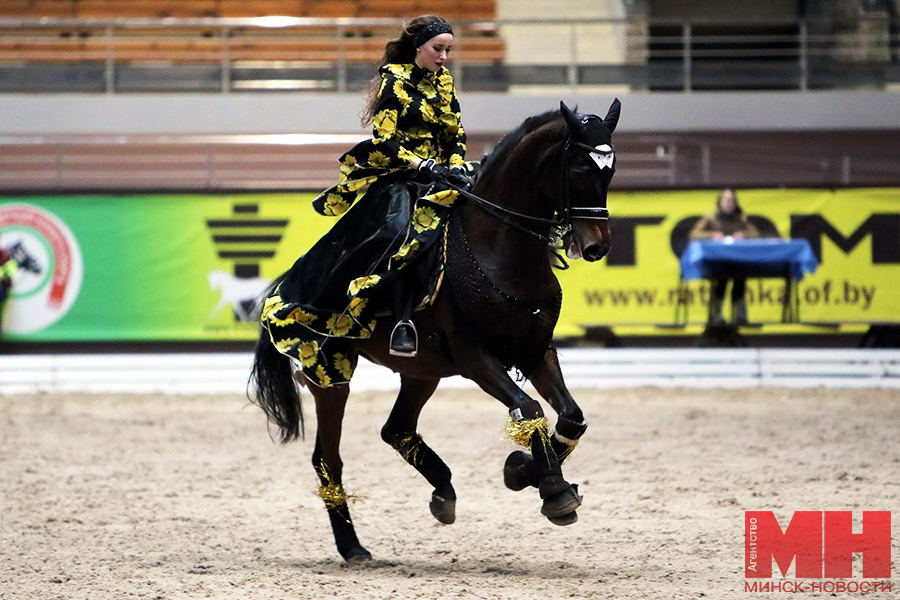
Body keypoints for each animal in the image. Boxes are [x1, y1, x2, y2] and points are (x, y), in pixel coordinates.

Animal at [250, 98, 624, 564]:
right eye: (577, 169)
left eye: (610, 170)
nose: (596, 246)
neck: (499, 248)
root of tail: (287, 283)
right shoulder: (477, 358)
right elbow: (530, 409)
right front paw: (551, 489)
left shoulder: (536, 351)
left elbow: (571, 417)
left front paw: (524, 472)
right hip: (330, 371)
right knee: (328, 459)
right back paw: (353, 547)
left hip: (421, 372)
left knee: (395, 429)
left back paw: (443, 492)